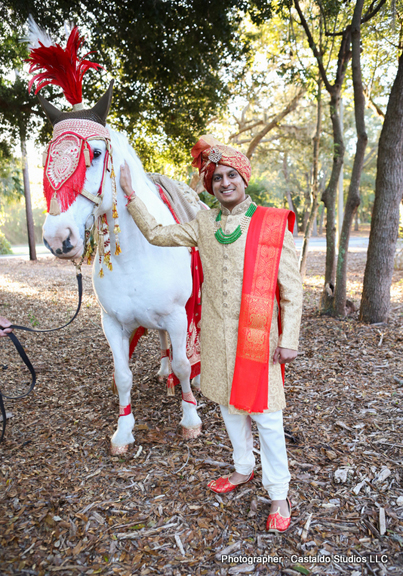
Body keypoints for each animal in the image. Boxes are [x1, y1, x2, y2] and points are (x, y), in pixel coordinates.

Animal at [41, 129, 202, 454]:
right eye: (47, 157)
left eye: (96, 153)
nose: (57, 238)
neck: (135, 255)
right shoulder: (112, 323)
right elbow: (123, 375)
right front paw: (123, 431)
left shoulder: (178, 317)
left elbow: (183, 366)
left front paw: (191, 419)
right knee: (162, 341)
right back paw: (163, 371)